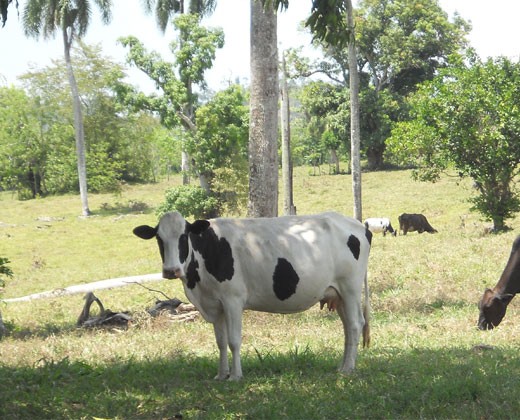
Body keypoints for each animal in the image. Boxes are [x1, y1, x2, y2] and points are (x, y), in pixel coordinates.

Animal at [132, 212, 372, 378]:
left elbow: (234, 340)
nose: (171, 270)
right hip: (338, 294)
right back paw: (343, 365)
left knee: (355, 324)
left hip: (350, 288)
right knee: (347, 328)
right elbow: (220, 342)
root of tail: (360, 225)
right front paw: (221, 374)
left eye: (184, 237)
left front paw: (236, 376)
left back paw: (348, 369)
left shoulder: (233, 299)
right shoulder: (215, 305)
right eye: (159, 238)